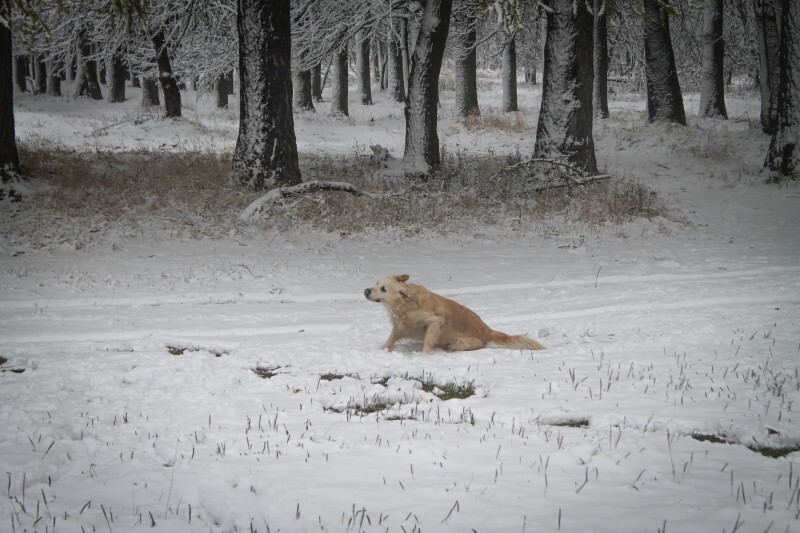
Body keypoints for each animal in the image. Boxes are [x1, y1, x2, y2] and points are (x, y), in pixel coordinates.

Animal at [366, 274, 548, 354]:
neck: (405, 305)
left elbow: (428, 340)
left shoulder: (434, 321)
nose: (366, 291)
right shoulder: (399, 326)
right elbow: (390, 340)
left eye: (383, 289)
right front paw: (382, 350)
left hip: (459, 342)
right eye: (377, 283)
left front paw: (424, 356)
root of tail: (487, 330)